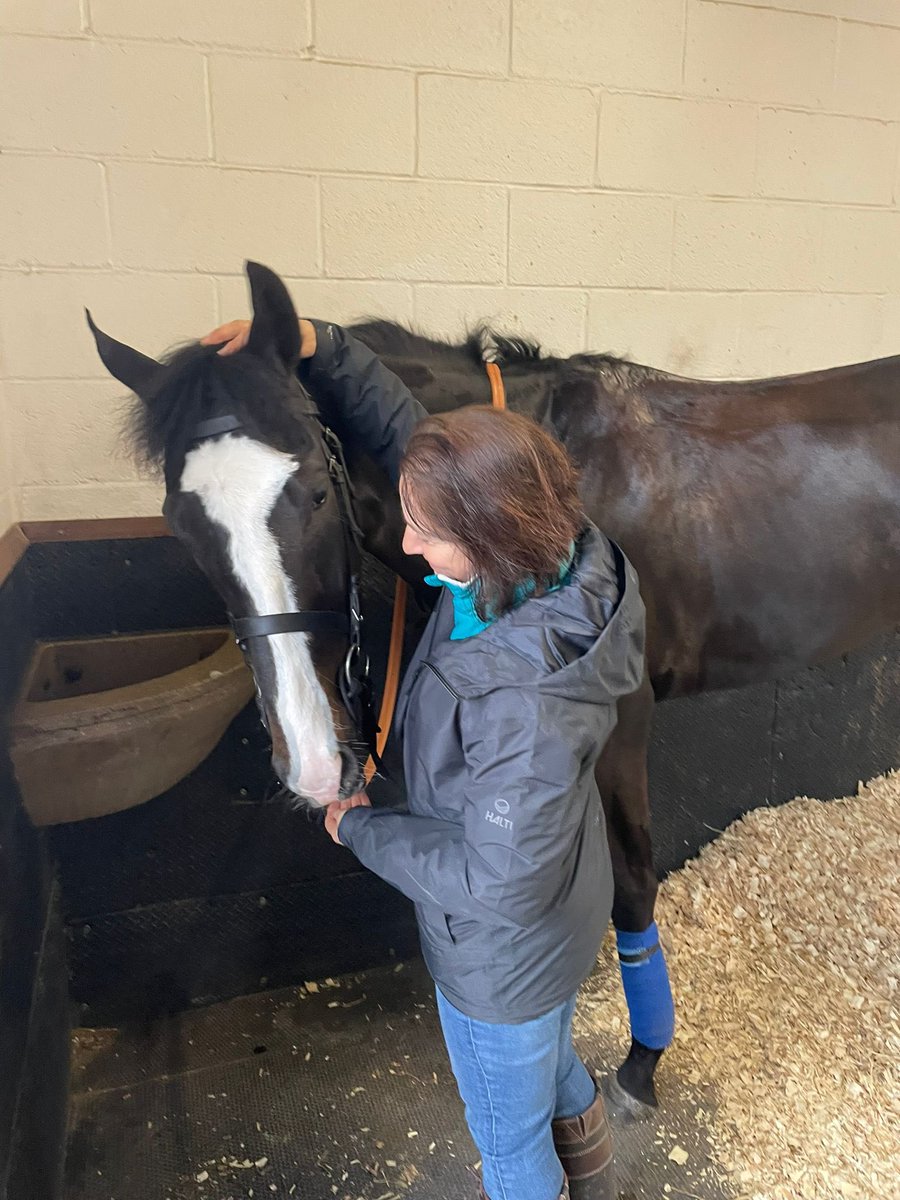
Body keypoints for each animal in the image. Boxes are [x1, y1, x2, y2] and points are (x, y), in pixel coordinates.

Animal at [90, 260, 900, 1113]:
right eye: (182, 524)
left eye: (312, 490)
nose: (312, 762)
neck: (551, 474)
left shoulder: (623, 721)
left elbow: (631, 885)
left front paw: (641, 1064)